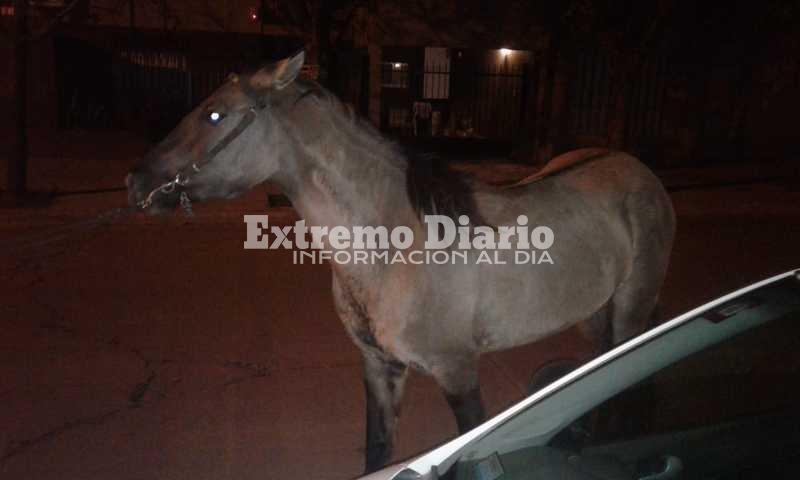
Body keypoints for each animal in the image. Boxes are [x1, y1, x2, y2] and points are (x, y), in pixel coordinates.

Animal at [126, 51, 675, 473]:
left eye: (215, 115)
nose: (136, 182)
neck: (391, 248)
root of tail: (638, 168)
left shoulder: (459, 373)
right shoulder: (378, 367)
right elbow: (378, 449)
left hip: (631, 306)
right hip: (594, 314)